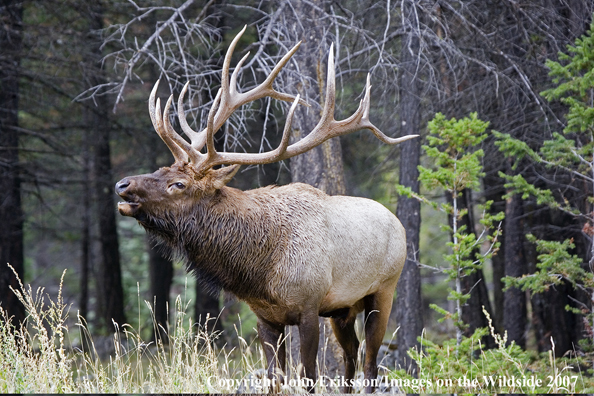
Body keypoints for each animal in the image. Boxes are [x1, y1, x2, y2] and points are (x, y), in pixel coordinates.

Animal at [115, 27, 416, 392]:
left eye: (179, 184)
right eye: (161, 170)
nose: (123, 184)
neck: (260, 271)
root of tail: (397, 224)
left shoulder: (309, 305)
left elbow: (308, 377)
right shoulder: (266, 317)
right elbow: (275, 379)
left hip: (383, 289)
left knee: (370, 363)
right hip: (344, 310)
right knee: (351, 356)